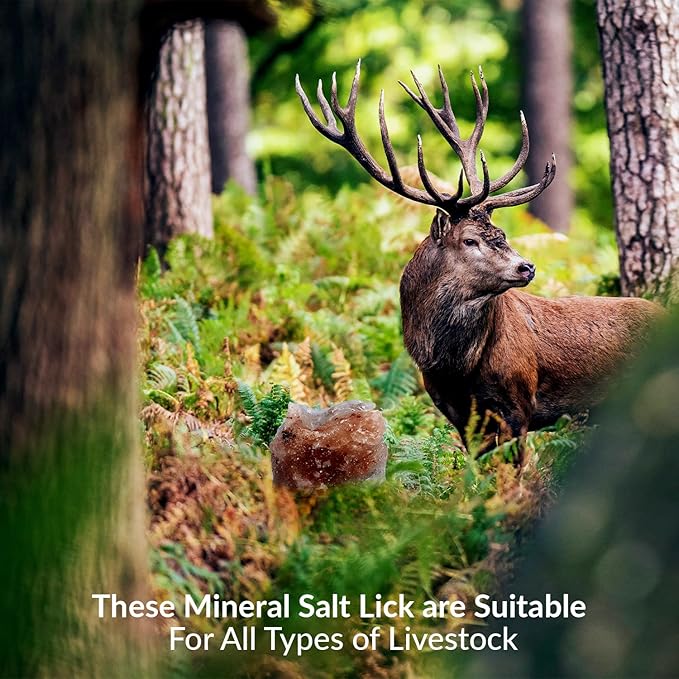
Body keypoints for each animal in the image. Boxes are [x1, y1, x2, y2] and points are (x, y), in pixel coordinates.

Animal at [295, 61, 661, 461]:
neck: (456, 369)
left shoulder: (519, 405)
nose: (527, 266)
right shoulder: (457, 414)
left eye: (502, 233)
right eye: (470, 239)